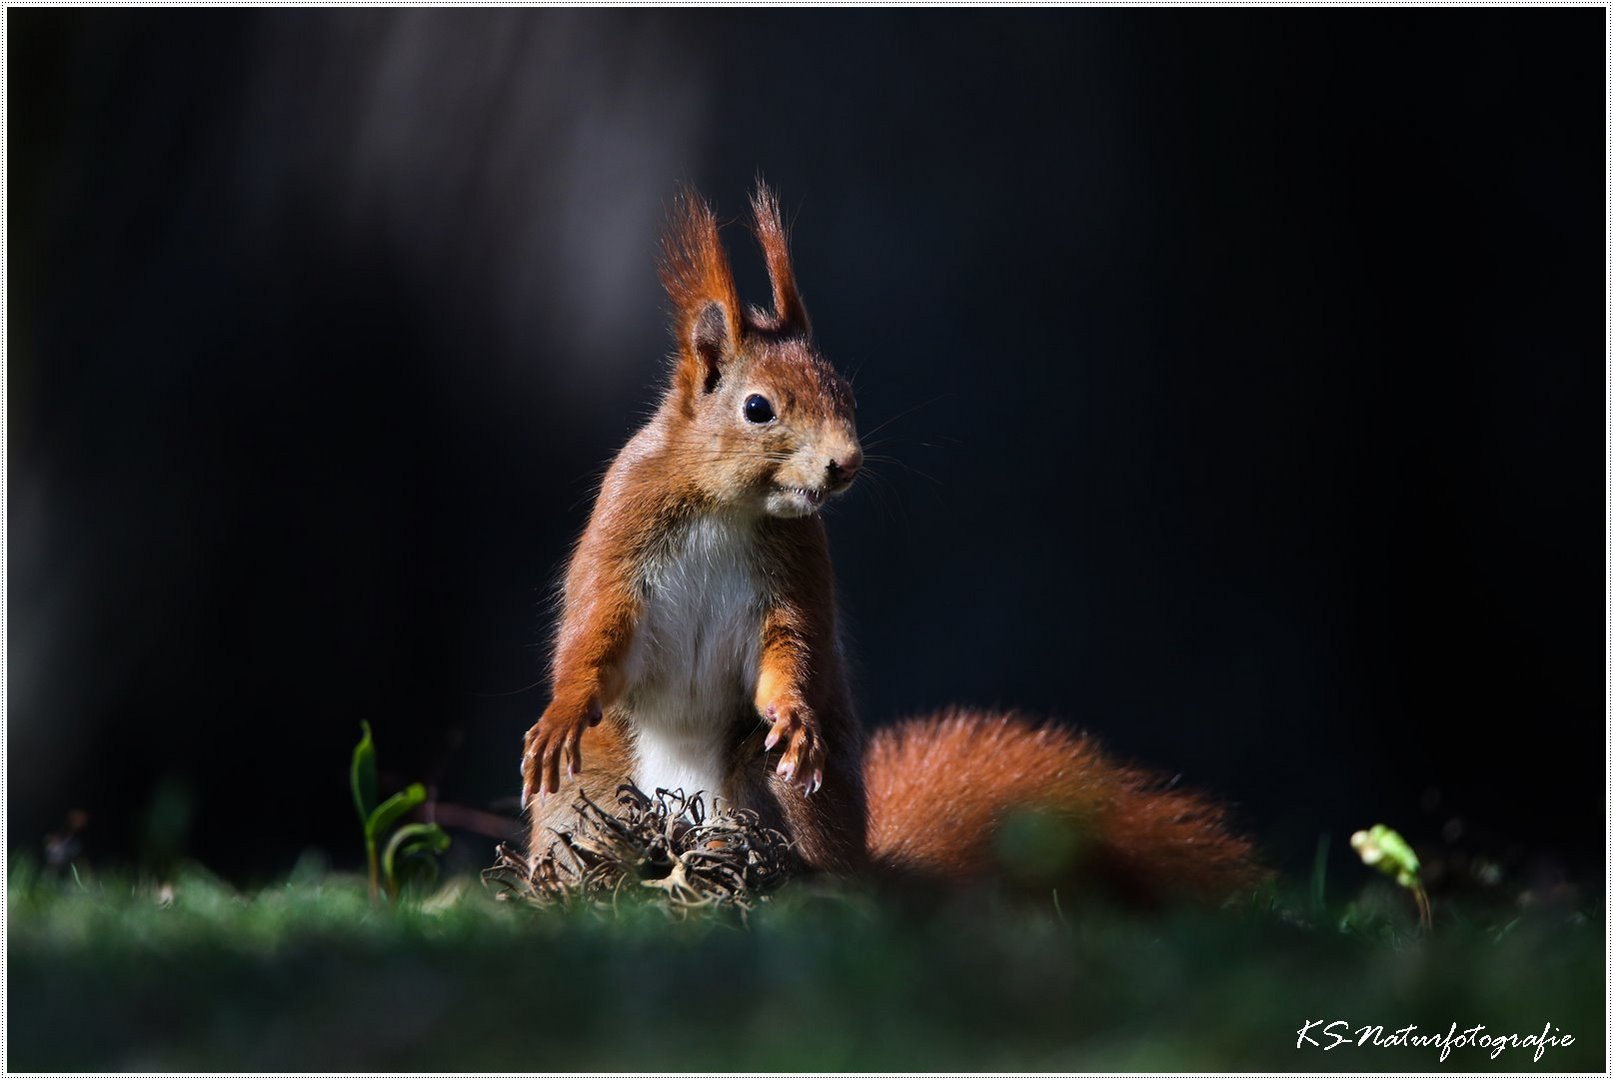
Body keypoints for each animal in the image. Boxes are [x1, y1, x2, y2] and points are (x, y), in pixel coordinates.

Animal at [519, 183, 1258, 902]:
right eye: (757, 408)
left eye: (845, 393)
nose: (844, 463)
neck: (726, 509)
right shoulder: (622, 541)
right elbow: (597, 637)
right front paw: (562, 712)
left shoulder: (796, 578)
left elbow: (791, 650)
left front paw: (794, 713)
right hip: (592, 788)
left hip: (784, 791)